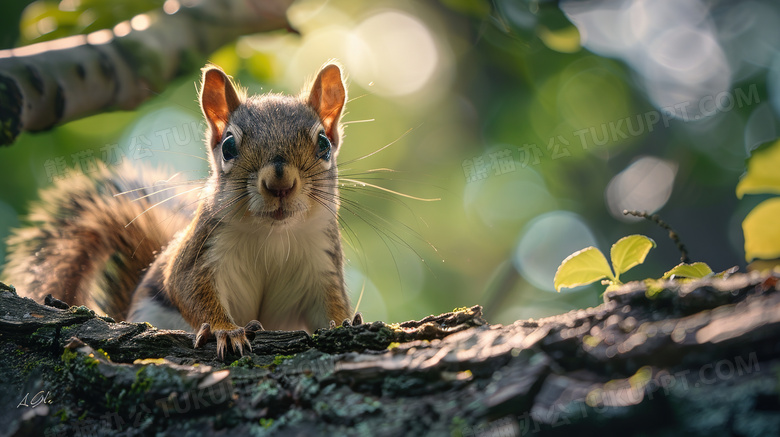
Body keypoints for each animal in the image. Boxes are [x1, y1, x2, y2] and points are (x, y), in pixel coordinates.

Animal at [2, 62, 356, 358]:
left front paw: (348, 323)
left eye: (324, 143)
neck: (273, 234)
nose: (279, 183)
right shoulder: (201, 250)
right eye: (229, 146)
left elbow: (329, 308)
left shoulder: (321, 264)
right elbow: (187, 289)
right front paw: (225, 331)